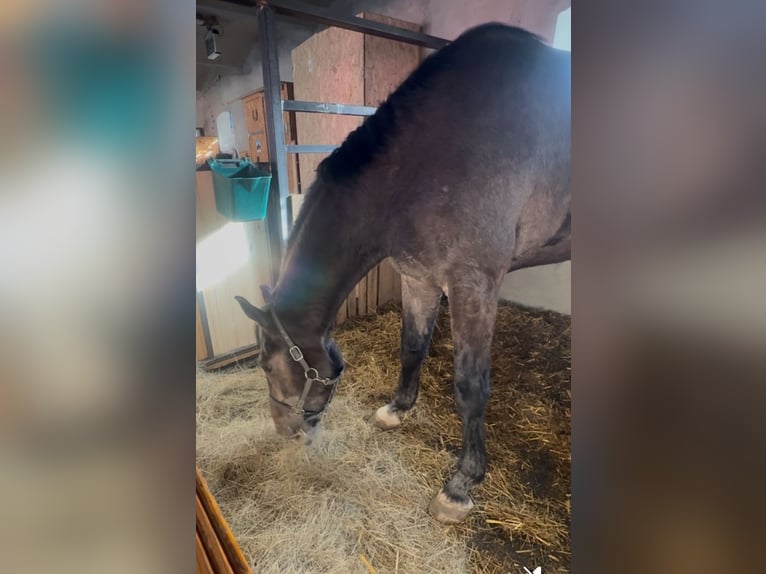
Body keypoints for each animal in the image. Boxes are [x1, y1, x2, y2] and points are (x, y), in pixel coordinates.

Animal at [237, 23, 572, 528]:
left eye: (266, 365)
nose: (286, 431)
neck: (421, 164)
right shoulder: (420, 279)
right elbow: (412, 346)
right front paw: (396, 410)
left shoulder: (474, 285)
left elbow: (470, 387)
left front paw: (461, 485)